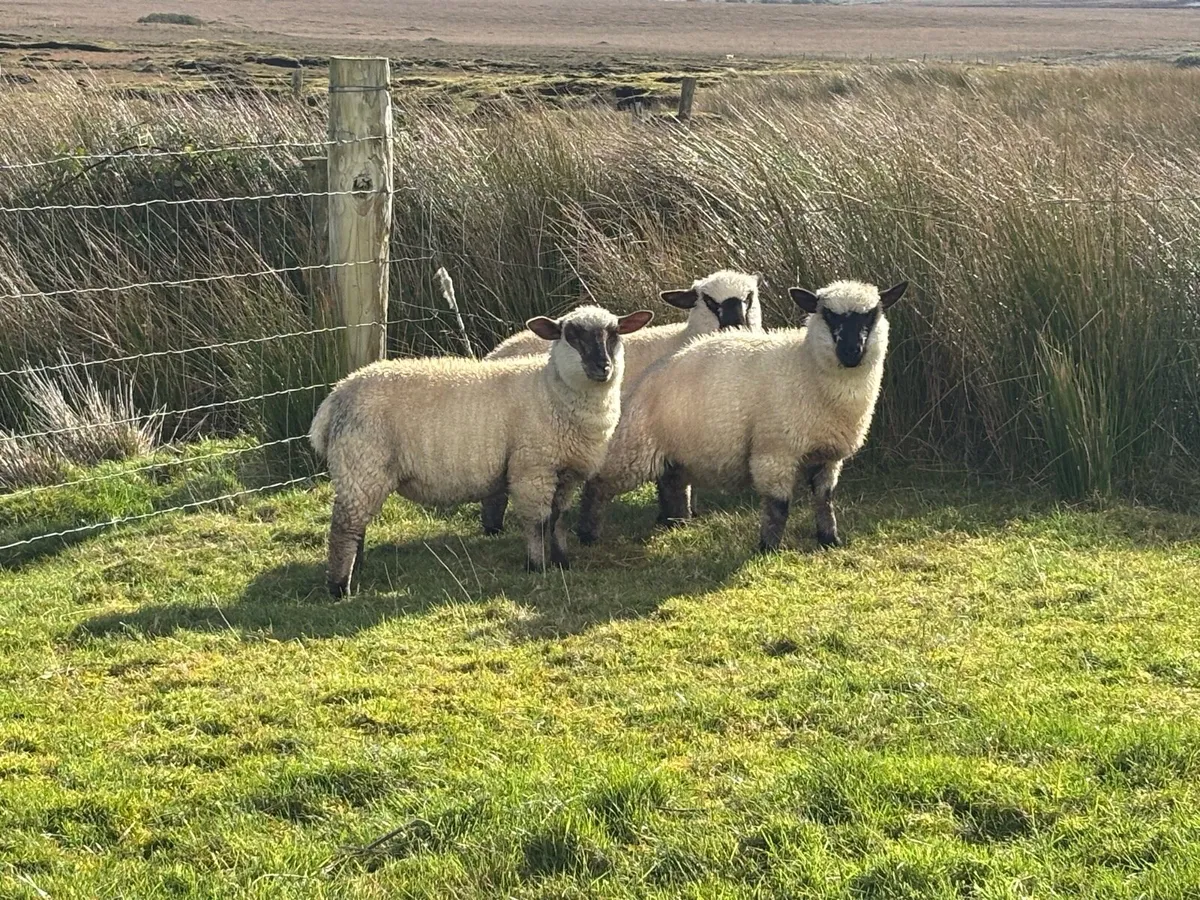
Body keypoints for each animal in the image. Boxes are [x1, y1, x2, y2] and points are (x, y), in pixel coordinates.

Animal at [308, 304, 654, 597]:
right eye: (572, 335)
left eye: (614, 333)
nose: (602, 367)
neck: (550, 391)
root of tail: (336, 396)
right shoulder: (532, 468)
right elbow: (538, 521)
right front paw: (537, 566)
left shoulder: (565, 472)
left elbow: (557, 519)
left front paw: (562, 561)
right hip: (360, 464)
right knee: (343, 529)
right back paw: (340, 587)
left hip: (361, 471)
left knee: (356, 526)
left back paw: (357, 570)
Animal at [479, 269, 761, 535]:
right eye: (709, 301)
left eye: (748, 297)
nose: (735, 325)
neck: (681, 339)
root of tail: (496, 352)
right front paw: (673, 518)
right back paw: (494, 528)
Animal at [575, 279, 908, 553]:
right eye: (828, 315)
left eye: (872, 314)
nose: (852, 351)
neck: (805, 366)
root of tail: (651, 374)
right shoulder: (773, 451)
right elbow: (778, 506)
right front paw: (768, 549)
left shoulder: (827, 455)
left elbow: (824, 500)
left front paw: (829, 540)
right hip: (635, 446)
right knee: (597, 485)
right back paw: (587, 534)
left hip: (675, 448)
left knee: (671, 481)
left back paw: (675, 521)